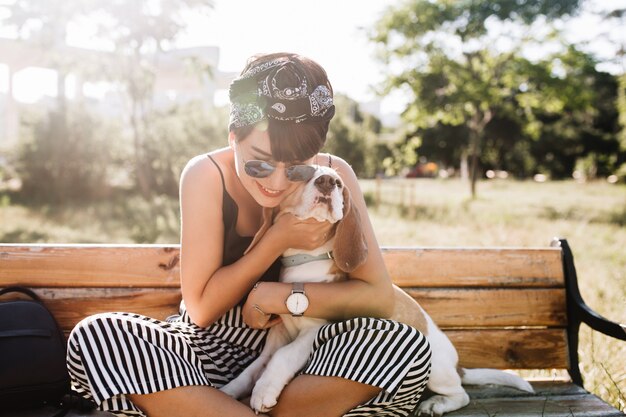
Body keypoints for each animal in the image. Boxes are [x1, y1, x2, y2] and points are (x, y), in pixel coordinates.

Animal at [219, 164, 532, 414]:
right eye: (300, 174)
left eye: (339, 183)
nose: (328, 182)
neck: (305, 258)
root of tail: (458, 366)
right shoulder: (279, 334)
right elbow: (253, 369)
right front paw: (228, 392)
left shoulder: (313, 332)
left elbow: (282, 358)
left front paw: (263, 392)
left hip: (437, 370)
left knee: (461, 394)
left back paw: (435, 405)